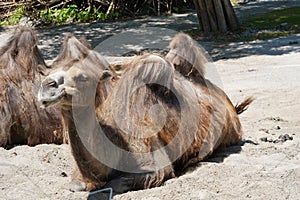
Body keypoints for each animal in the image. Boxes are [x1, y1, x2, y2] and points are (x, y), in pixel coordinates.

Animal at [38, 33, 253, 194]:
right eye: (47, 72)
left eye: (82, 77)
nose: (47, 86)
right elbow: (76, 185)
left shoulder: (153, 163)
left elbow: (117, 183)